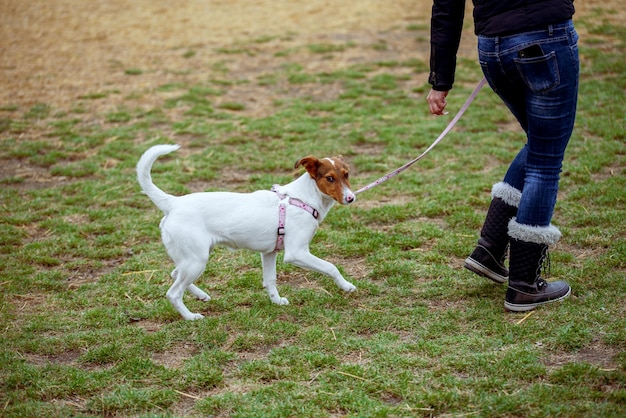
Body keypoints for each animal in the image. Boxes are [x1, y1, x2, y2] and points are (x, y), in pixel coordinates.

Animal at [135, 145, 356, 320]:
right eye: (329, 178)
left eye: (346, 174)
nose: (351, 198)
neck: (303, 198)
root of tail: (173, 202)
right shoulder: (297, 253)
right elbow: (330, 267)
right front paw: (346, 286)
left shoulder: (269, 253)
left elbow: (270, 280)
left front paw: (276, 301)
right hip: (196, 260)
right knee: (173, 293)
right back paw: (191, 317)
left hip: (191, 258)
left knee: (175, 274)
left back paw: (201, 295)